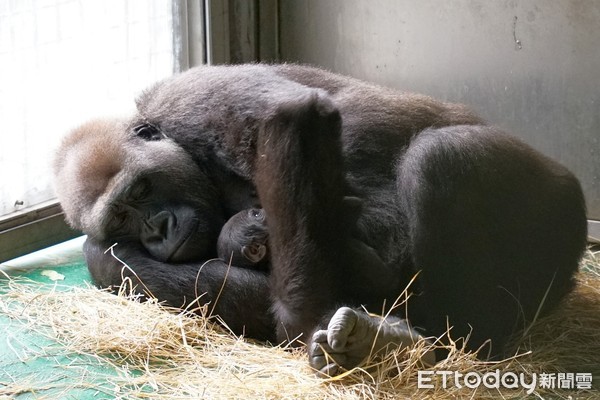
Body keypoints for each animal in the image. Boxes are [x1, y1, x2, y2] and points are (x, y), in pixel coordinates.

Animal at [54, 64, 588, 374]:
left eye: (142, 190)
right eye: (122, 220)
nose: (157, 230)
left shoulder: (188, 100)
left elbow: (293, 116)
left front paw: (311, 319)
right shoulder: (105, 256)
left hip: (562, 210)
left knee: (441, 156)